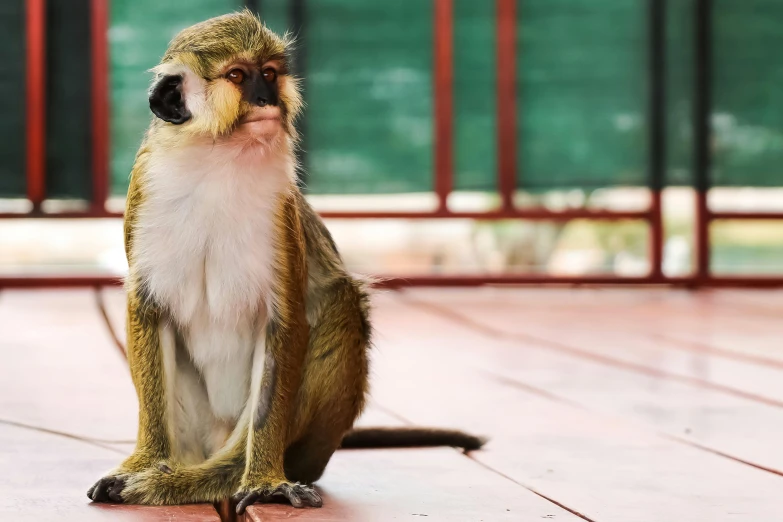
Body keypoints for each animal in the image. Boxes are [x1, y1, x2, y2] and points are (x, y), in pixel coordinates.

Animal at [89, 11, 486, 512]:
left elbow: (286, 322)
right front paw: (143, 463)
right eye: (239, 76)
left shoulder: (281, 218)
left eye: (270, 73)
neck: (218, 160)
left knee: (341, 300)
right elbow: (148, 310)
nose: (266, 99)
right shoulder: (145, 192)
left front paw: (263, 480)